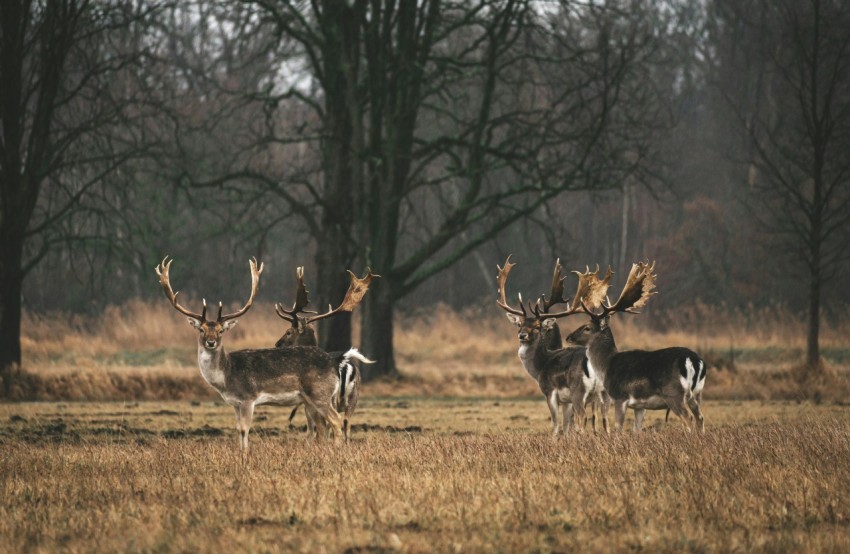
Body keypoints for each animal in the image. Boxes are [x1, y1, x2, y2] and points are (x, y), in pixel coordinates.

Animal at [154, 256, 357, 457]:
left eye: (221, 331)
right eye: (202, 330)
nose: (211, 342)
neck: (226, 377)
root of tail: (335, 362)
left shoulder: (247, 398)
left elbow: (245, 429)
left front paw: (245, 456)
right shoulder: (235, 403)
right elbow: (238, 430)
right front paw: (240, 454)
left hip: (319, 393)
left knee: (336, 421)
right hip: (312, 399)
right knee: (326, 425)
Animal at [274, 266, 377, 441]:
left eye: (288, 332)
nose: (277, 344)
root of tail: (343, 363)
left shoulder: (308, 403)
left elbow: (313, 429)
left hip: (328, 397)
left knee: (331, 424)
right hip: (354, 396)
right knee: (346, 424)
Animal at [496, 256, 609, 435]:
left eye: (537, 326)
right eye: (519, 324)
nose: (522, 335)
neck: (540, 366)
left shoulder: (550, 391)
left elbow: (556, 425)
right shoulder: (566, 401)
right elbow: (566, 425)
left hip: (579, 391)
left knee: (583, 418)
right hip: (601, 393)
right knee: (603, 419)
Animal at [562, 261, 707, 432]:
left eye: (587, 328)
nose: (568, 337)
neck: (607, 365)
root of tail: (694, 361)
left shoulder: (620, 397)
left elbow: (618, 428)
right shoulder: (639, 406)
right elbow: (637, 430)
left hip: (674, 393)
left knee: (688, 418)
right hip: (697, 393)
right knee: (700, 417)